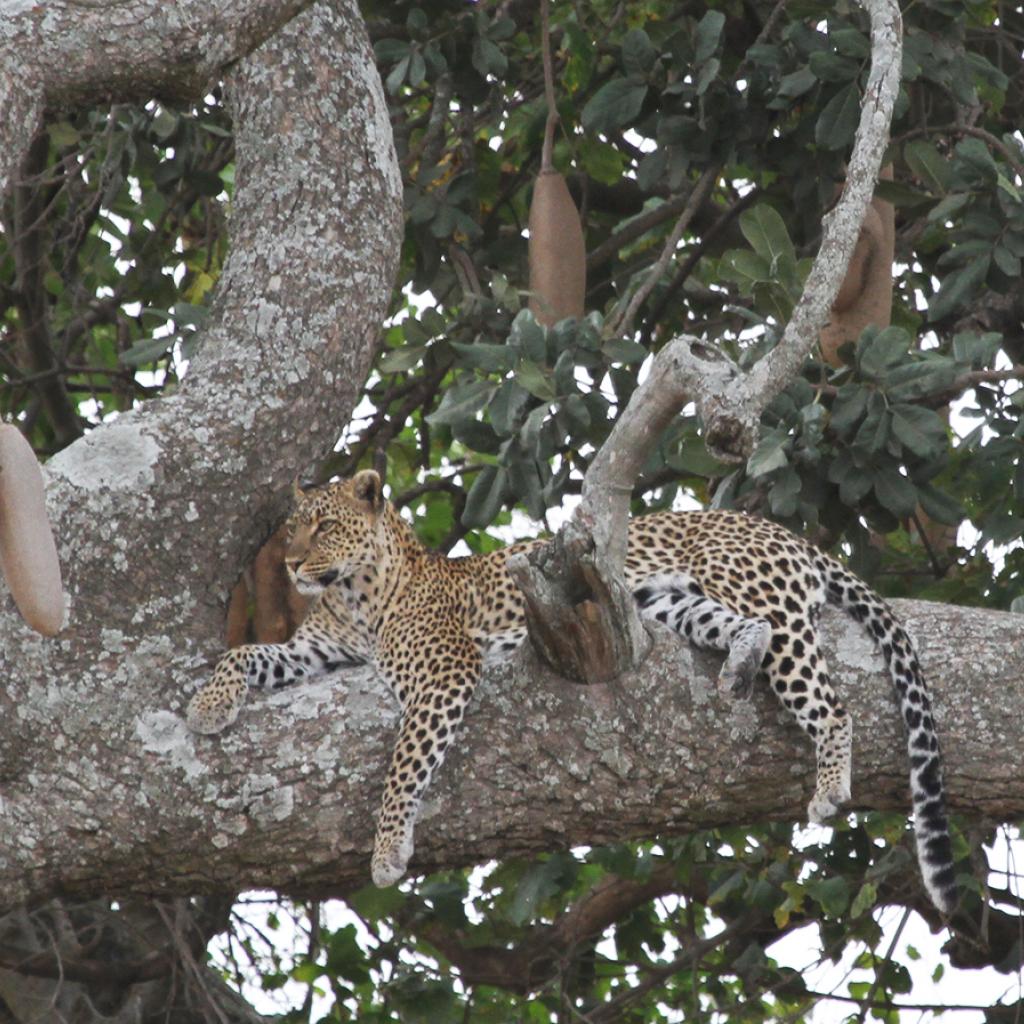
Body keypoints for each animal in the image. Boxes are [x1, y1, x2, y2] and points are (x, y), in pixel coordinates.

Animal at [186, 468, 958, 913]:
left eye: (324, 525)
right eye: (291, 528)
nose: (290, 565)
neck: (353, 594)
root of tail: (783, 531)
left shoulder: (444, 671)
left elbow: (403, 766)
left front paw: (385, 851)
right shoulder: (309, 651)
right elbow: (244, 652)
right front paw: (206, 706)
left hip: (756, 595)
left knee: (833, 703)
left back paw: (829, 785)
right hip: (673, 607)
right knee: (750, 632)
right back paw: (739, 666)